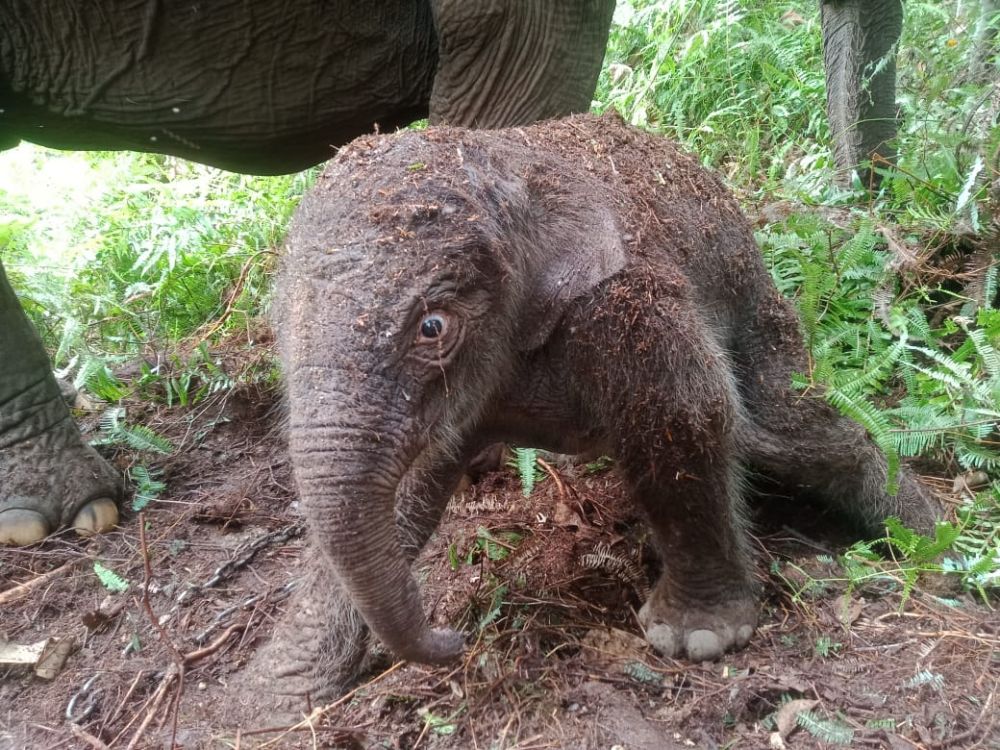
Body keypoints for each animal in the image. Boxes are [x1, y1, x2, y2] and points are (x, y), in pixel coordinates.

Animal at [268, 114, 936, 704]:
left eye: (433, 326)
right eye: (280, 324)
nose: (451, 636)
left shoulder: (628, 305)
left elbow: (687, 413)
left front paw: (698, 638)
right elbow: (408, 487)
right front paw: (279, 695)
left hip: (755, 299)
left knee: (794, 429)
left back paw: (928, 540)